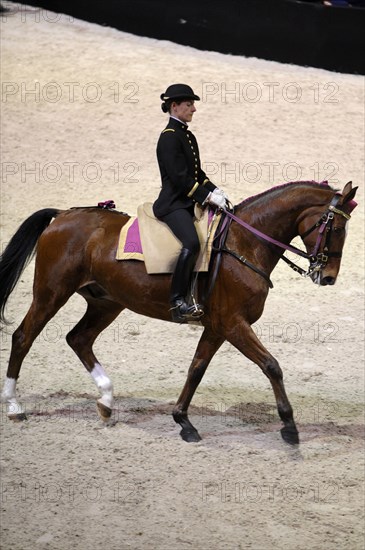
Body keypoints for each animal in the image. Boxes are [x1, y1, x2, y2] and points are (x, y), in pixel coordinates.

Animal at [0, 181, 356, 444]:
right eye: (337, 228)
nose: (328, 277)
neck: (245, 243)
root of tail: (63, 214)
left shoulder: (217, 326)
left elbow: (196, 369)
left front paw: (183, 421)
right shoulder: (233, 323)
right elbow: (271, 365)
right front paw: (289, 426)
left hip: (106, 302)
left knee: (78, 339)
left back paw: (106, 401)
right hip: (51, 293)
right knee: (23, 337)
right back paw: (15, 406)